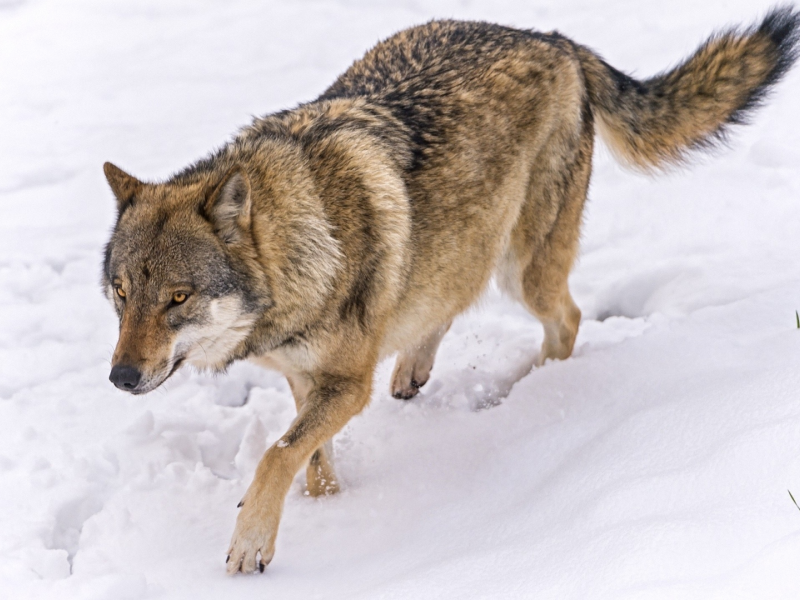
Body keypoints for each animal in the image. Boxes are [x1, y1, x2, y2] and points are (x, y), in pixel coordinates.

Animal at [103, 7, 796, 576]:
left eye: (178, 298)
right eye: (120, 292)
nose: (120, 378)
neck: (305, 240)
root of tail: (556, 39)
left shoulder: (346, 385)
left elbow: (277, 454)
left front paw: (251, 544)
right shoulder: (305, 376)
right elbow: (311, 458)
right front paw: (330, 511)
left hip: (524, 267)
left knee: (567, 321)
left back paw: (525, 393)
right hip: (469, 243)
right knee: (449, 303)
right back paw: (416, 369)